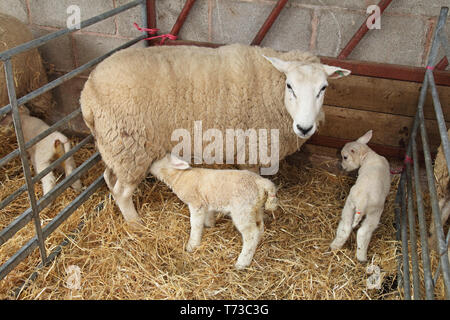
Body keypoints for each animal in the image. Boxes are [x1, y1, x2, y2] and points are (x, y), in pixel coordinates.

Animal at [79, 43, 350, 226]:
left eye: (323, 88)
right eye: (290, 86)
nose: (304, 127)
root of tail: (87, 94)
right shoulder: (250, 151)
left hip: (113, 146)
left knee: (109, 177)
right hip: (130, 148)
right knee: (121, 192)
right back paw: (136, 223)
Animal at [330, 130, 390, 262]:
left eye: (345, 157)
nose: (342, 167)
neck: (368, 155)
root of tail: (362, 201)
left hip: (350, 203)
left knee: (346, 228)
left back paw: (335, 246)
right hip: (374, 212)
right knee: (363, 232)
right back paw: (362, 257)